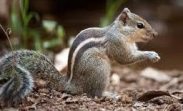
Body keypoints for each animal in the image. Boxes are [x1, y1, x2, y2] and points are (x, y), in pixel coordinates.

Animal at [0, 7, 160, 106]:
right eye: (140, 25)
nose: (155, 34)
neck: (120, 32)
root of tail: (71, 84)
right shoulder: (117, 44)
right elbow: (125, 59)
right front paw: (151, 54)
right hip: (100, 68)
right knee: (94, 93)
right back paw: (109, 95)